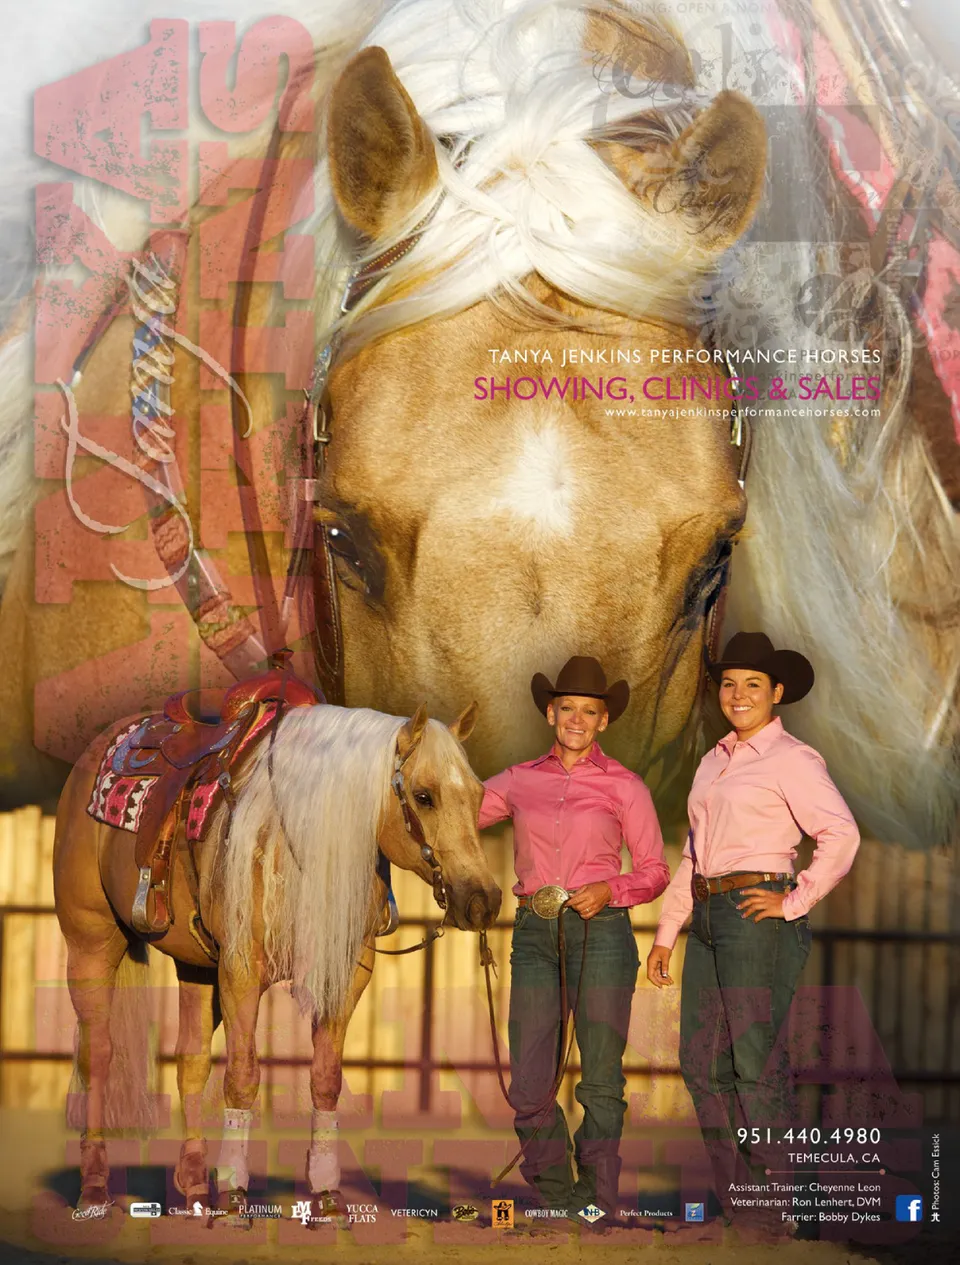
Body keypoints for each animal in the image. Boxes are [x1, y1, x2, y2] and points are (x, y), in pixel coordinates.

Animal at [53, 695, 501, 1215]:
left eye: (478, 795)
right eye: (424, 795)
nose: (483, 900)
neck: (298, 842)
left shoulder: (344, 975)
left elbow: (325, 1078)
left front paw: (325, 1192)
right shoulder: (241, 971)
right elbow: (243, 1077)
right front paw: (235, 1193)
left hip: (195, 967)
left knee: (190, 1061)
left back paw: (194, 1186)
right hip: (91, 942)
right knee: (98, 1055)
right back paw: (95, 1189)